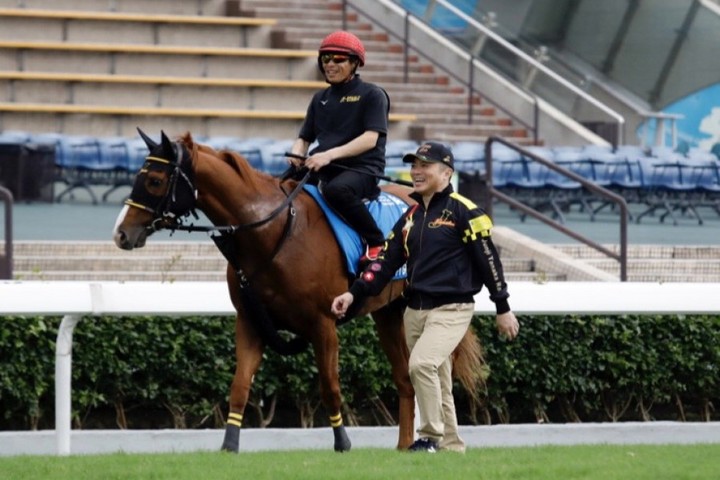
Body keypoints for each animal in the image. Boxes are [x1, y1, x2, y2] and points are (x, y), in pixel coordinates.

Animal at [112, 130, 483, 452]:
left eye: (154, 180)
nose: (121, 234)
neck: (273, 232)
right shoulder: (250, 322)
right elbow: (239, 386)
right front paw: (229, 445)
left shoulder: (323, 325)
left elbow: (330, 387)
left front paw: (342, 443)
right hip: (388, 314)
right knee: (406, 379)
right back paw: (405, 445)